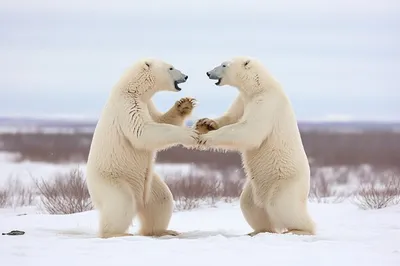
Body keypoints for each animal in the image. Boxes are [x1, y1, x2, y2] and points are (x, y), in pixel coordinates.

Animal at [87, 58, 200, 239]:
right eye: (171, 68)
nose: (186, 76)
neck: (132, 88)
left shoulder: (148, 104)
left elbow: (160, 120)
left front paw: (184, 105)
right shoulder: (127, 105)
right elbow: (142, 131)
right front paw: (190, 134)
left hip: (148, 183)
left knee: (161, 200)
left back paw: (164, 231)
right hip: (112, 179)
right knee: (122, 203)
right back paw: (117, 234)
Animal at [196, 57, 316, 236]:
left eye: (224, 65)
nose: (208, 73)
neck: (260, 86)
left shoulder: (267, 102)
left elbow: (250, 130)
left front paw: (205, 137)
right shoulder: (243, 100)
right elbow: (232, 117)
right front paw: (207, 122)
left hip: (285, 182)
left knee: (282, 205)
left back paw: (299, 230)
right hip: (255, 186)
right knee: (250, 205)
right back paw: (259, 231)